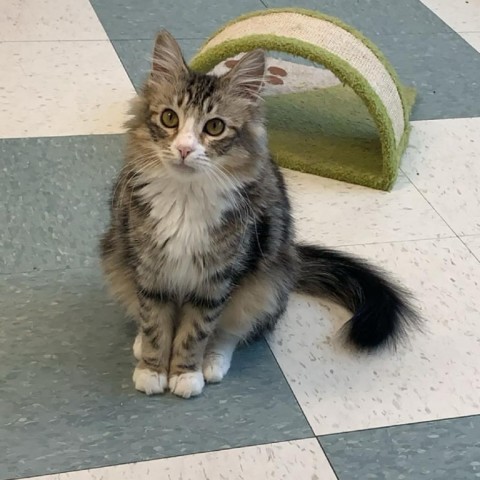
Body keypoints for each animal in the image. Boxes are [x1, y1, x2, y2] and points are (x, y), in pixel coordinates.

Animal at [100, 30, 416, 398]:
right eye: (169, 118)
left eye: (215, 127)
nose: (184, 149)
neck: (186, 199)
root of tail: (294, 257)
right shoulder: (149, 271)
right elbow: (154, 324)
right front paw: (152, 369)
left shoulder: (218, 280)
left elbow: (196, 332)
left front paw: (185, 373)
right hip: (115, 256)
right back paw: (140, 345)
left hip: (264, 282)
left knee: (232, 331)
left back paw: (212, 363)